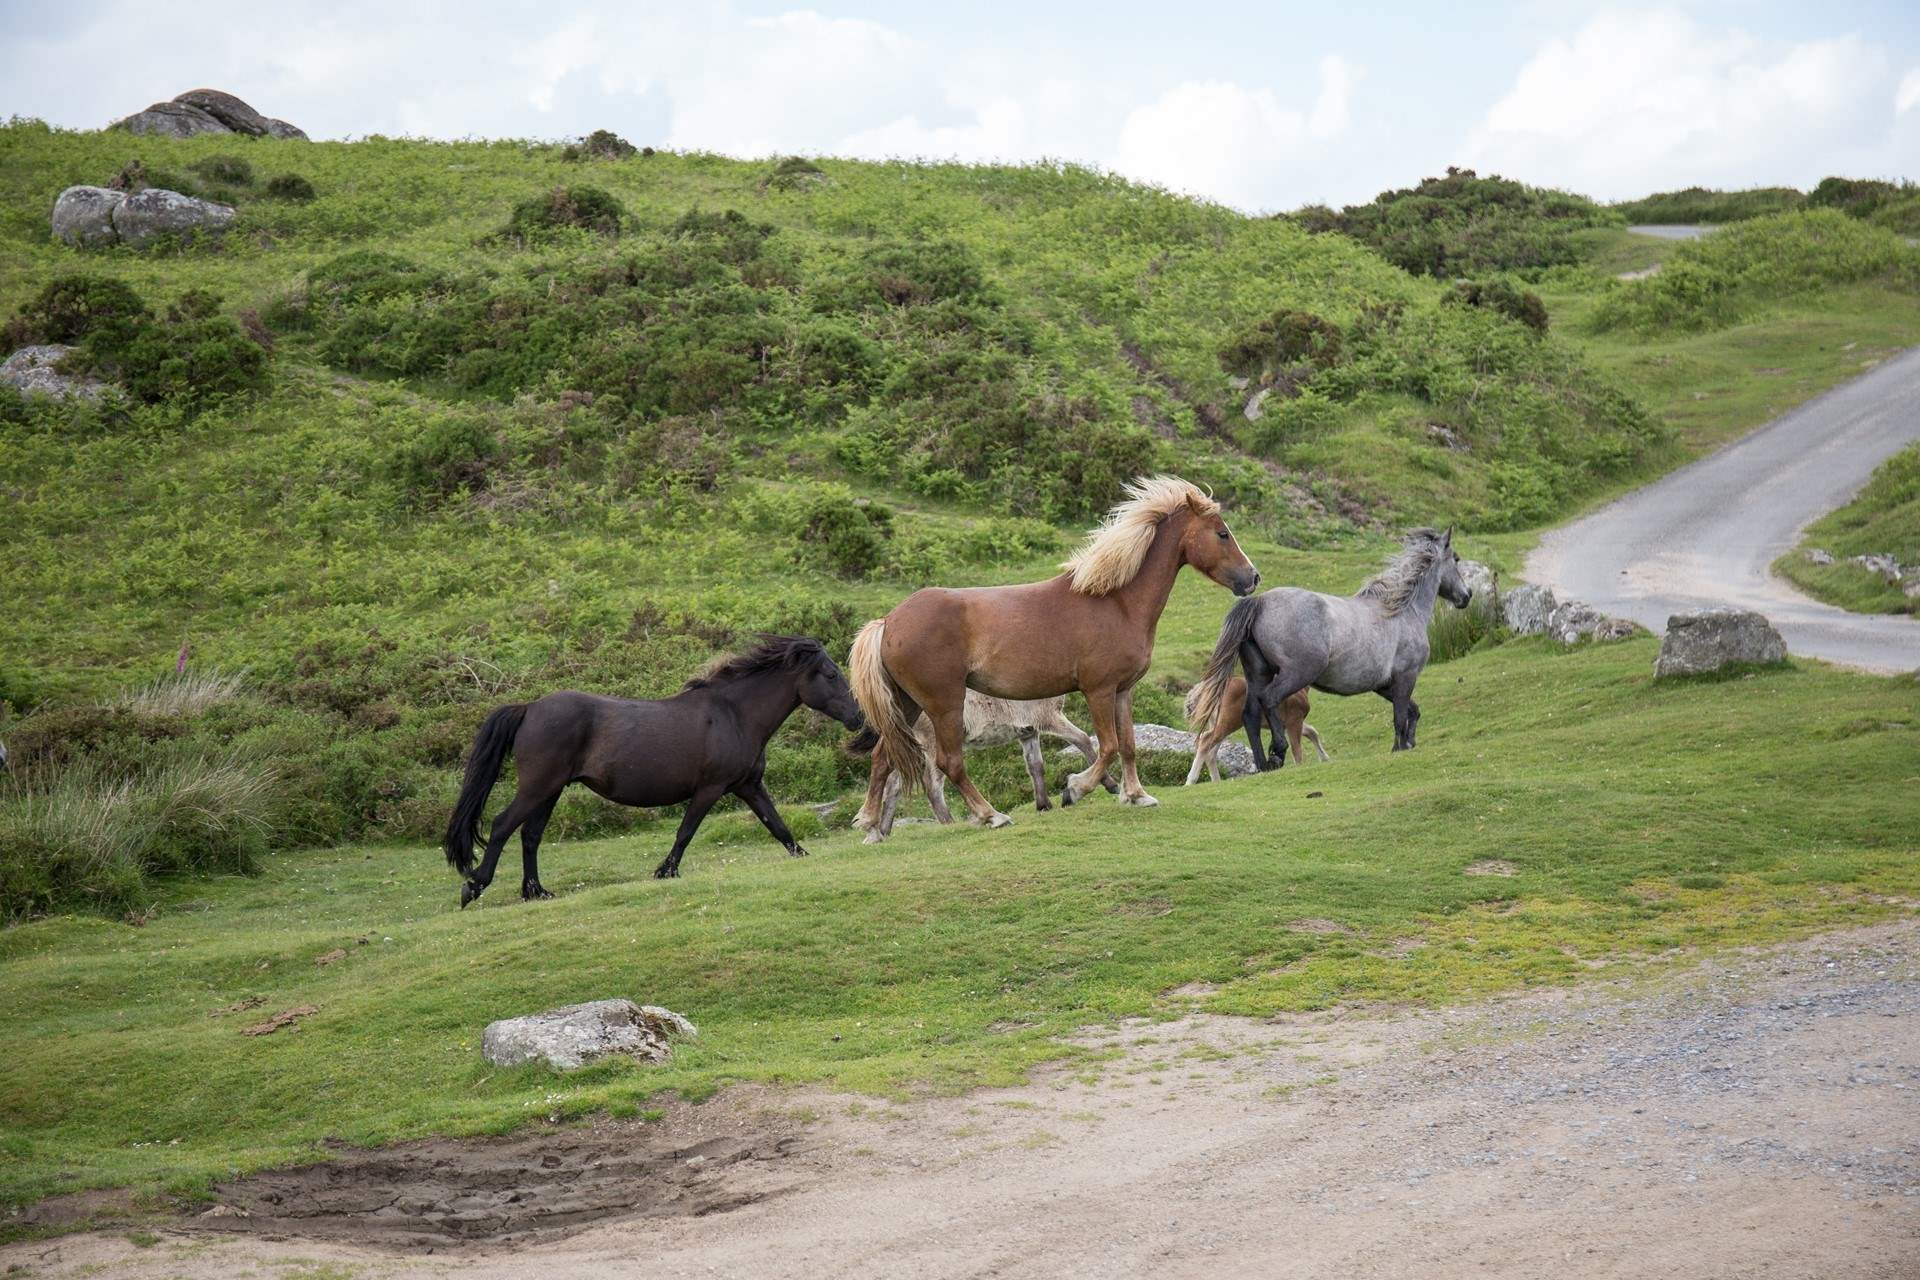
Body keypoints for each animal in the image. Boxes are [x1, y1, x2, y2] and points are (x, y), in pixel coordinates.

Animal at [443, 636, 869, 903]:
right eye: (832, 674)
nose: (859, 718)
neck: (734, 715)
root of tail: (529, 708)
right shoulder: (711, 788)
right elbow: (685, 832)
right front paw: (666, 872)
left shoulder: (748, 786)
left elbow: (778, 826)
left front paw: (803, 856)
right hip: (538, 785)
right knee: (503, 825)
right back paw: (474, 887)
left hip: (551, 790)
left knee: (530, 836)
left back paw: (536, 892)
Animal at [848, 475, 1259, 827]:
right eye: (1222, 533)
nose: (1253, 578)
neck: (1116, 602)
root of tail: (888, 621)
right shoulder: (1097, 690)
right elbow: (1107, 746)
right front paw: (1076, 789)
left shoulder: (1122, 690)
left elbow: (1127, 745)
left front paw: (1137, 795)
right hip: (944, 705)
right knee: (950, 763)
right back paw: (990, 815)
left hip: (907, 704)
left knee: (882, 757)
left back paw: (869, 823)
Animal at [851, 692, 1113, 843]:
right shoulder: (1047, 718)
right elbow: (1084, 740)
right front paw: (1107, 785)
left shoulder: (1028, 732)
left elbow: (1035, 766)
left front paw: (1043, 805)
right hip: (931, 745)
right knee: (932, 786)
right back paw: (954, 823)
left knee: (893, 785)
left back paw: (881, 830)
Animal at [1184, 676, 1326, 785]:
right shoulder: (1294, 720)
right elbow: (1297, 751)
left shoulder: (1288, 725)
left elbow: (1312, 732)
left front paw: (1324, 758)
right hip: (1229, 723)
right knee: (1205, 741)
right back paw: (1191, 781)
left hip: (1219, 724)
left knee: (1211, 752)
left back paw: (1216, 781)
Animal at [1186, 527, 1470, 767]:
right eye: (1456, 559)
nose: (1466, 596)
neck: (1402, 611)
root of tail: (1260, 602)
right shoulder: (1405, 677)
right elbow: (1400, 717)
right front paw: (1400, 748)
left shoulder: (1383, 684)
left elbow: (1413, 710)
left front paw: (1409, 743)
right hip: (1296, 673)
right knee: (1270, 699)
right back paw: (1277, 751)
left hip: (1258, 673)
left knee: (1251, 714)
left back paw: (1264, 764)